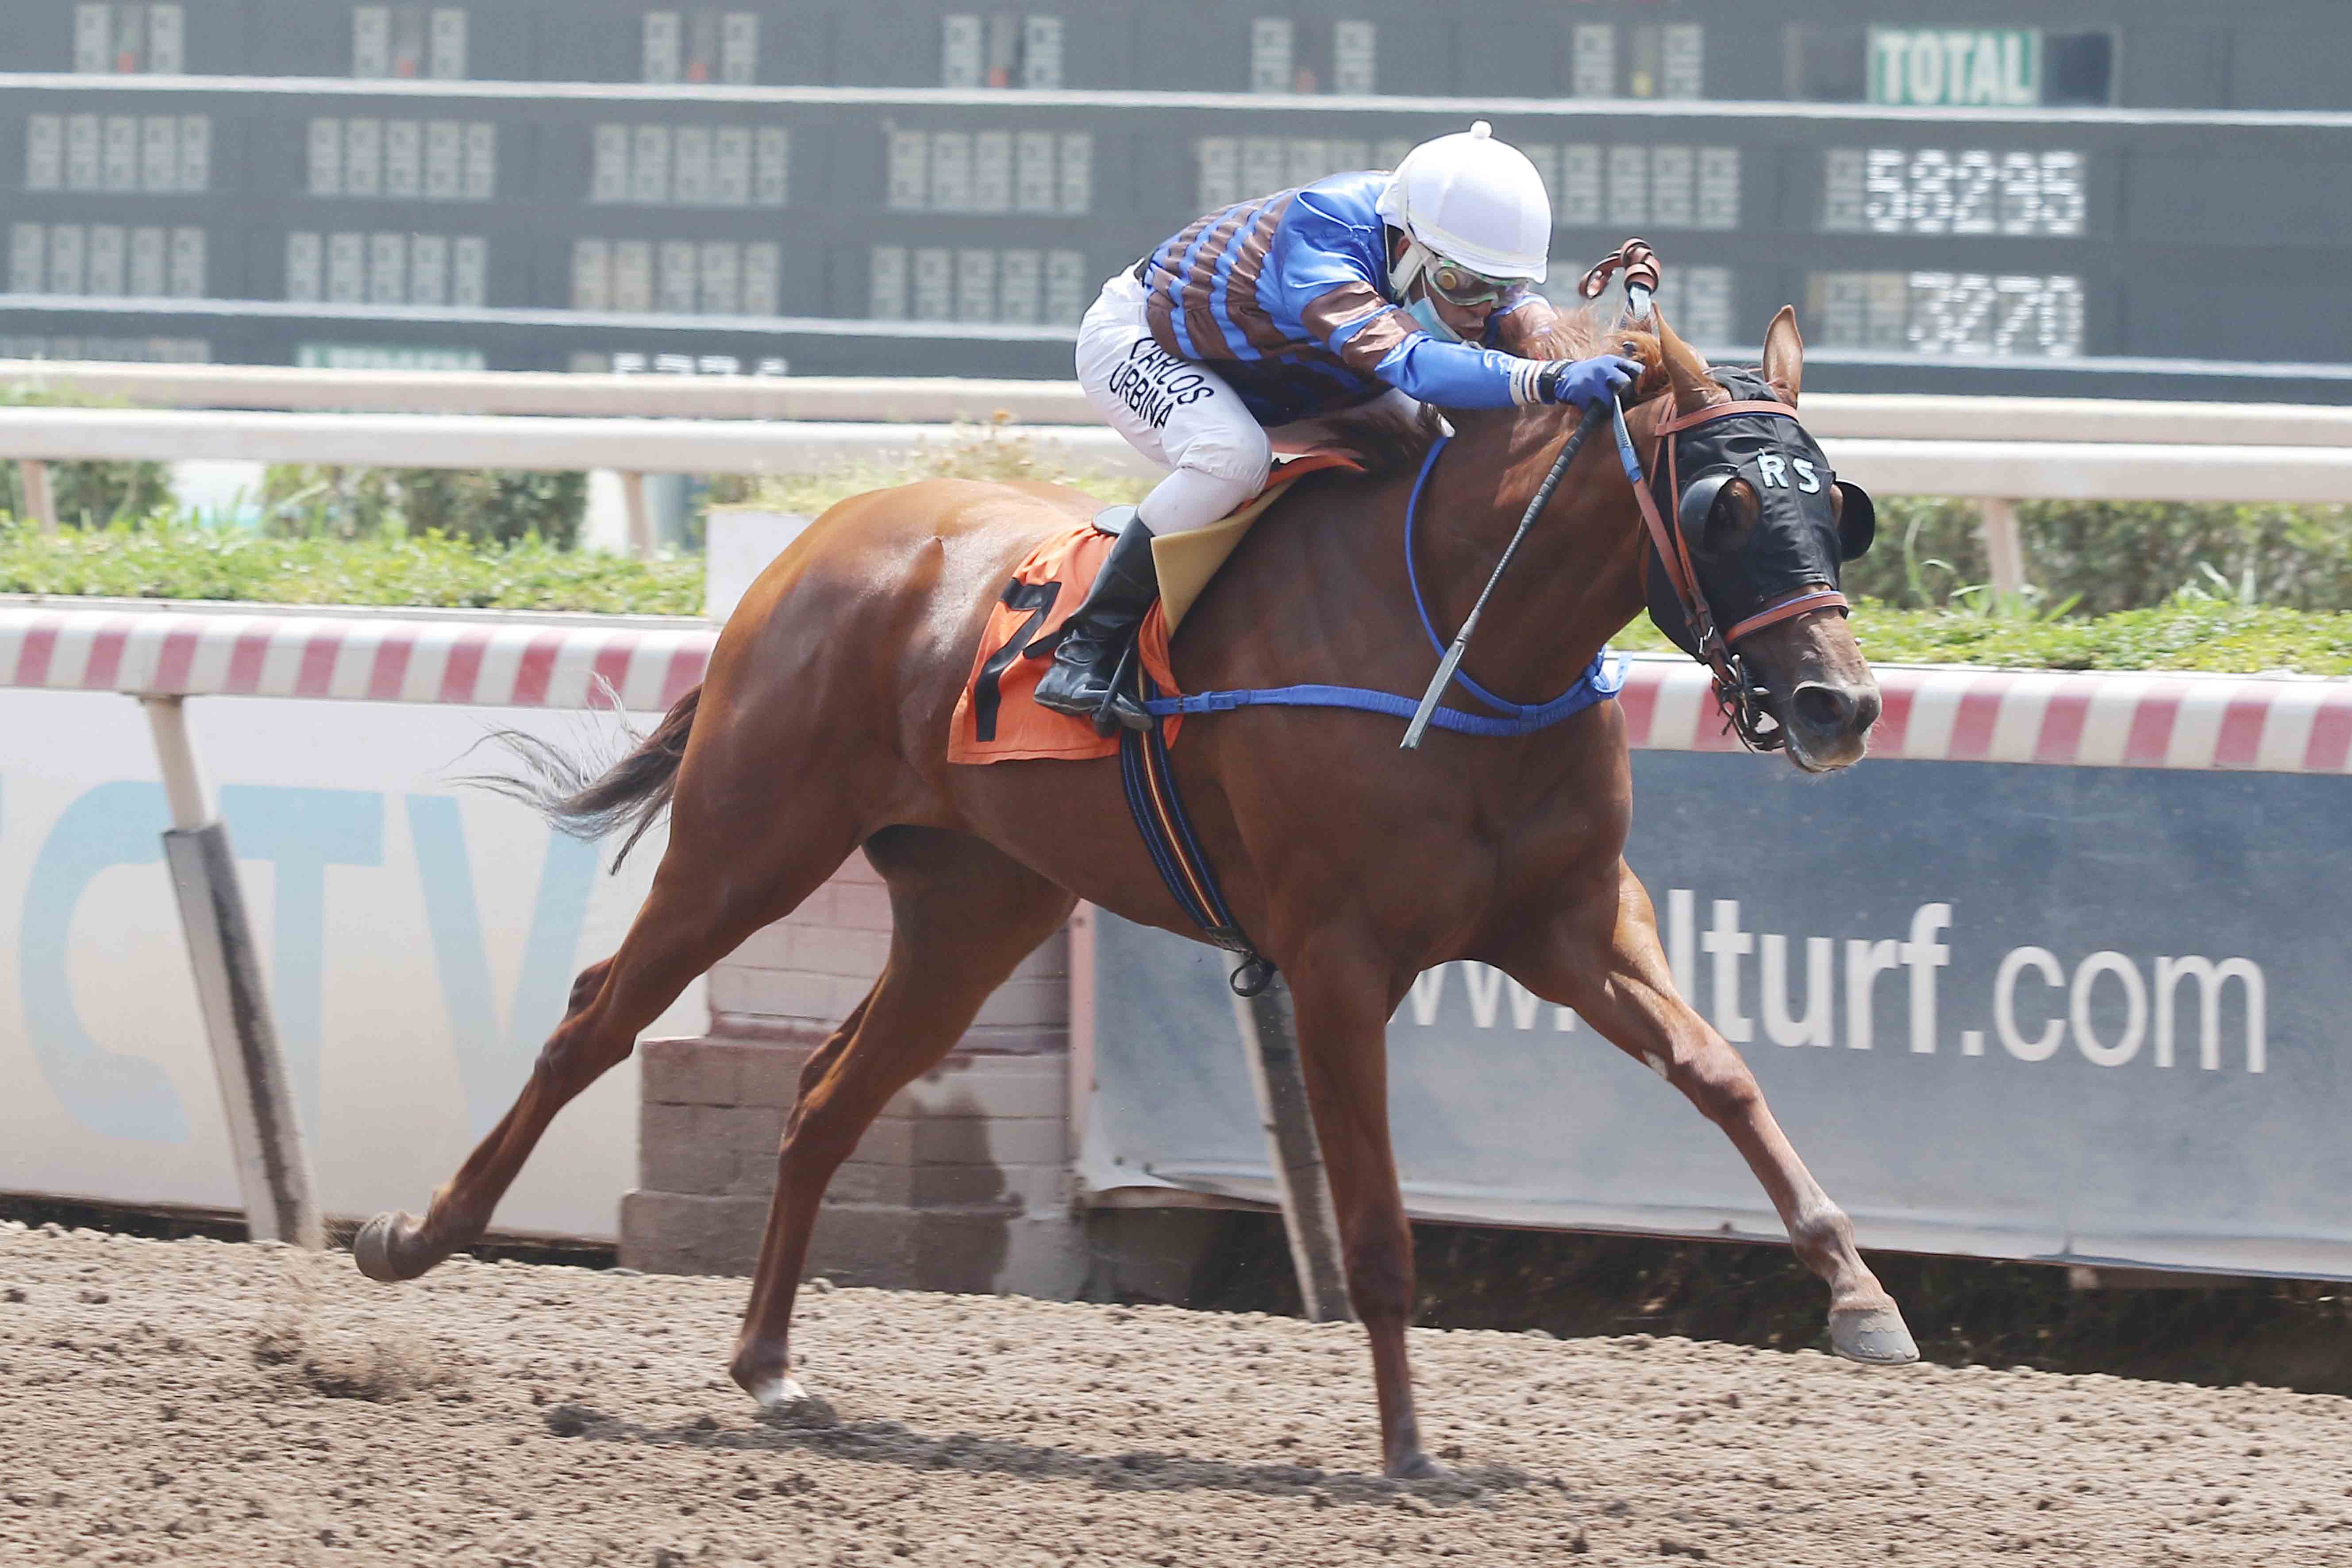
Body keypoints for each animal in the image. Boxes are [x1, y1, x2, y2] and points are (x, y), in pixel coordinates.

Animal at [353, 301, 1917, 1480]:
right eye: (1723, 503)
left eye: (1837, 506)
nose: (1838, 705)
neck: (1458, 634)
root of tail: (813, 543)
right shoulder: (1339, 960)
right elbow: (1374, 1221)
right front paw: (1408, 1446)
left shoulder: (1573, 920)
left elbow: (1721, 1072)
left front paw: (1860, 1294)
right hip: (747, 841)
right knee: (591, 1024)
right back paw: (413, 1233)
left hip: (972, 911)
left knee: (822, 1096)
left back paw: (771, 1365)